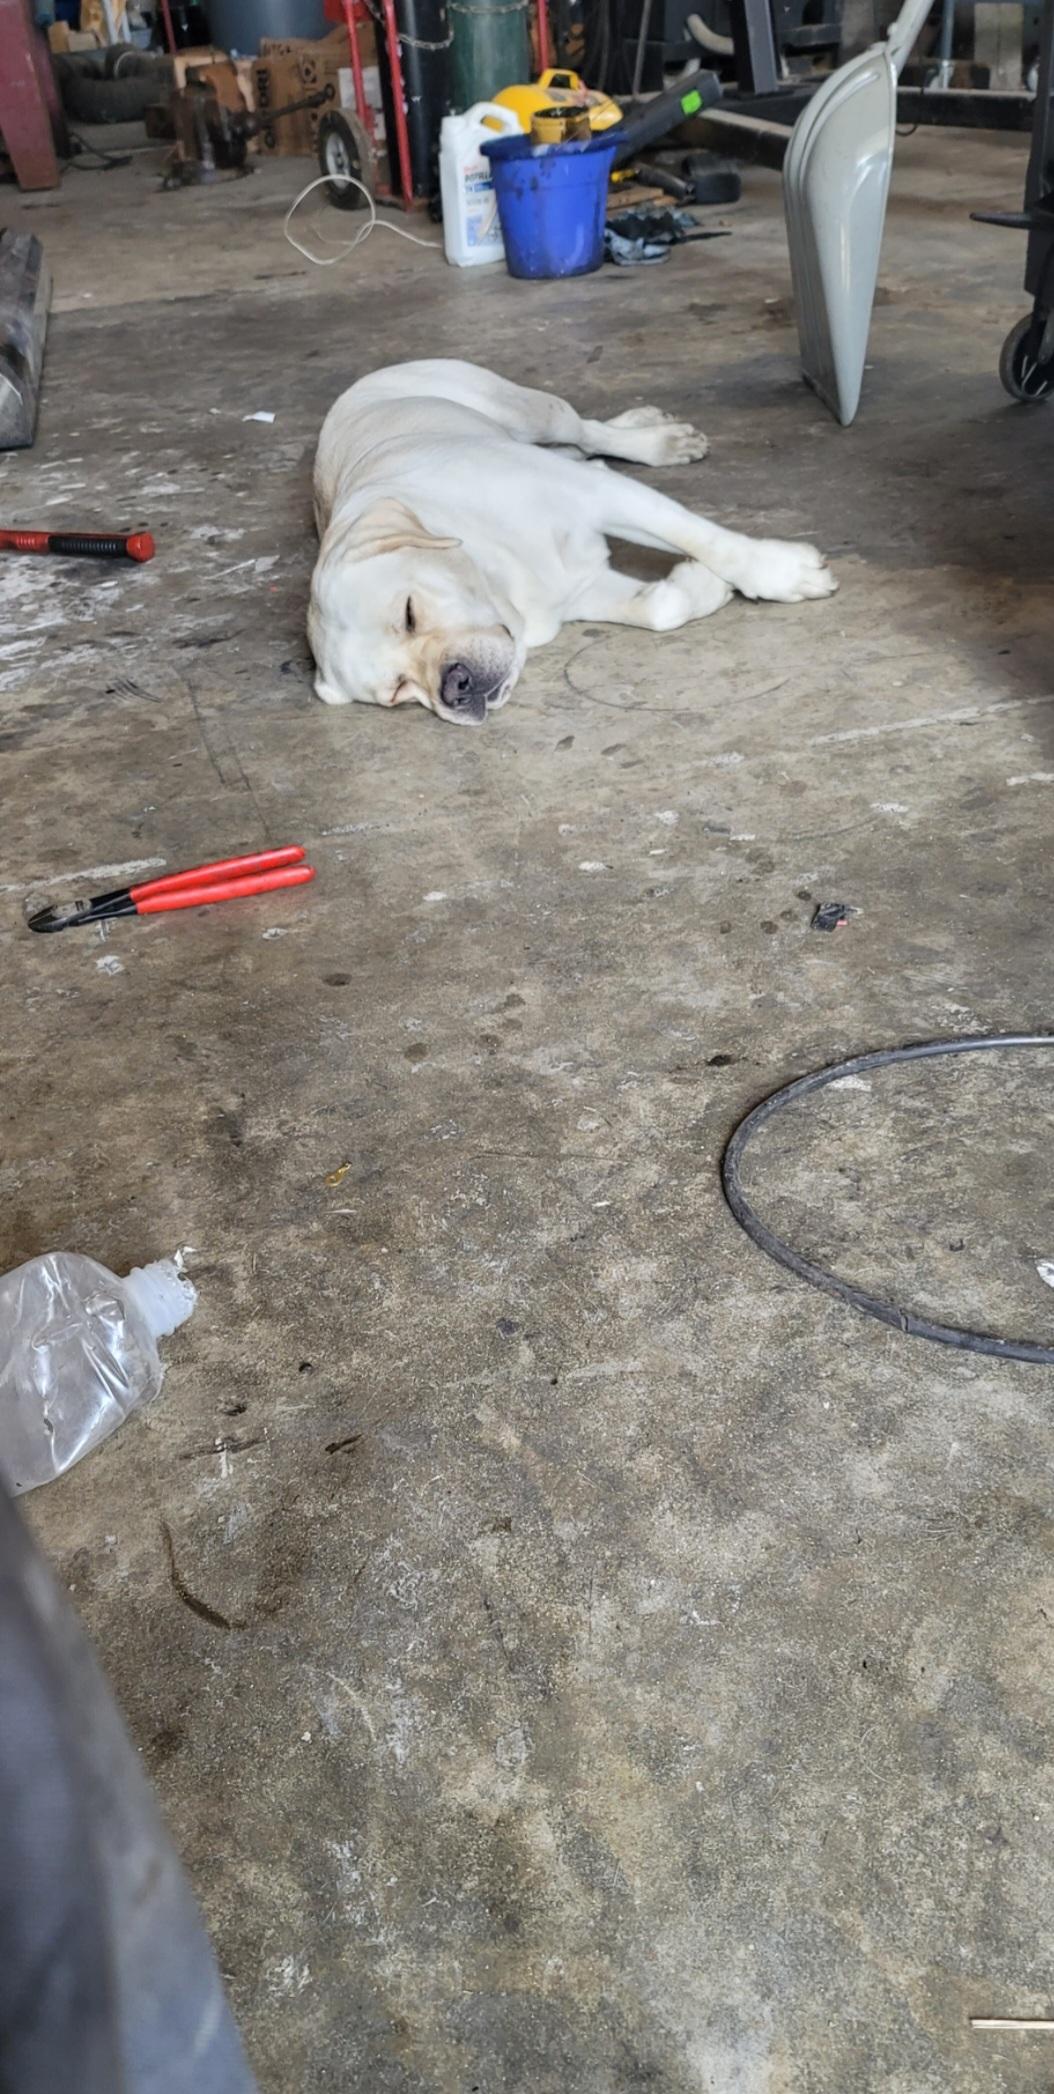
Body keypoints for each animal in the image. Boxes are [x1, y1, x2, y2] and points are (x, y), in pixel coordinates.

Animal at [309, 359, 836, 726]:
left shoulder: (599, 494)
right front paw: (703, 584)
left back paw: (657, 438)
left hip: (529, 412)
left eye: (409, 613)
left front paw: (779, 573)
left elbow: (705, 538)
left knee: (585, 431)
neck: (503, 578)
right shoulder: (581, 588)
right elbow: (660, 608)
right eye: (399, 690)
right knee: (585, 449)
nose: (454, 687)